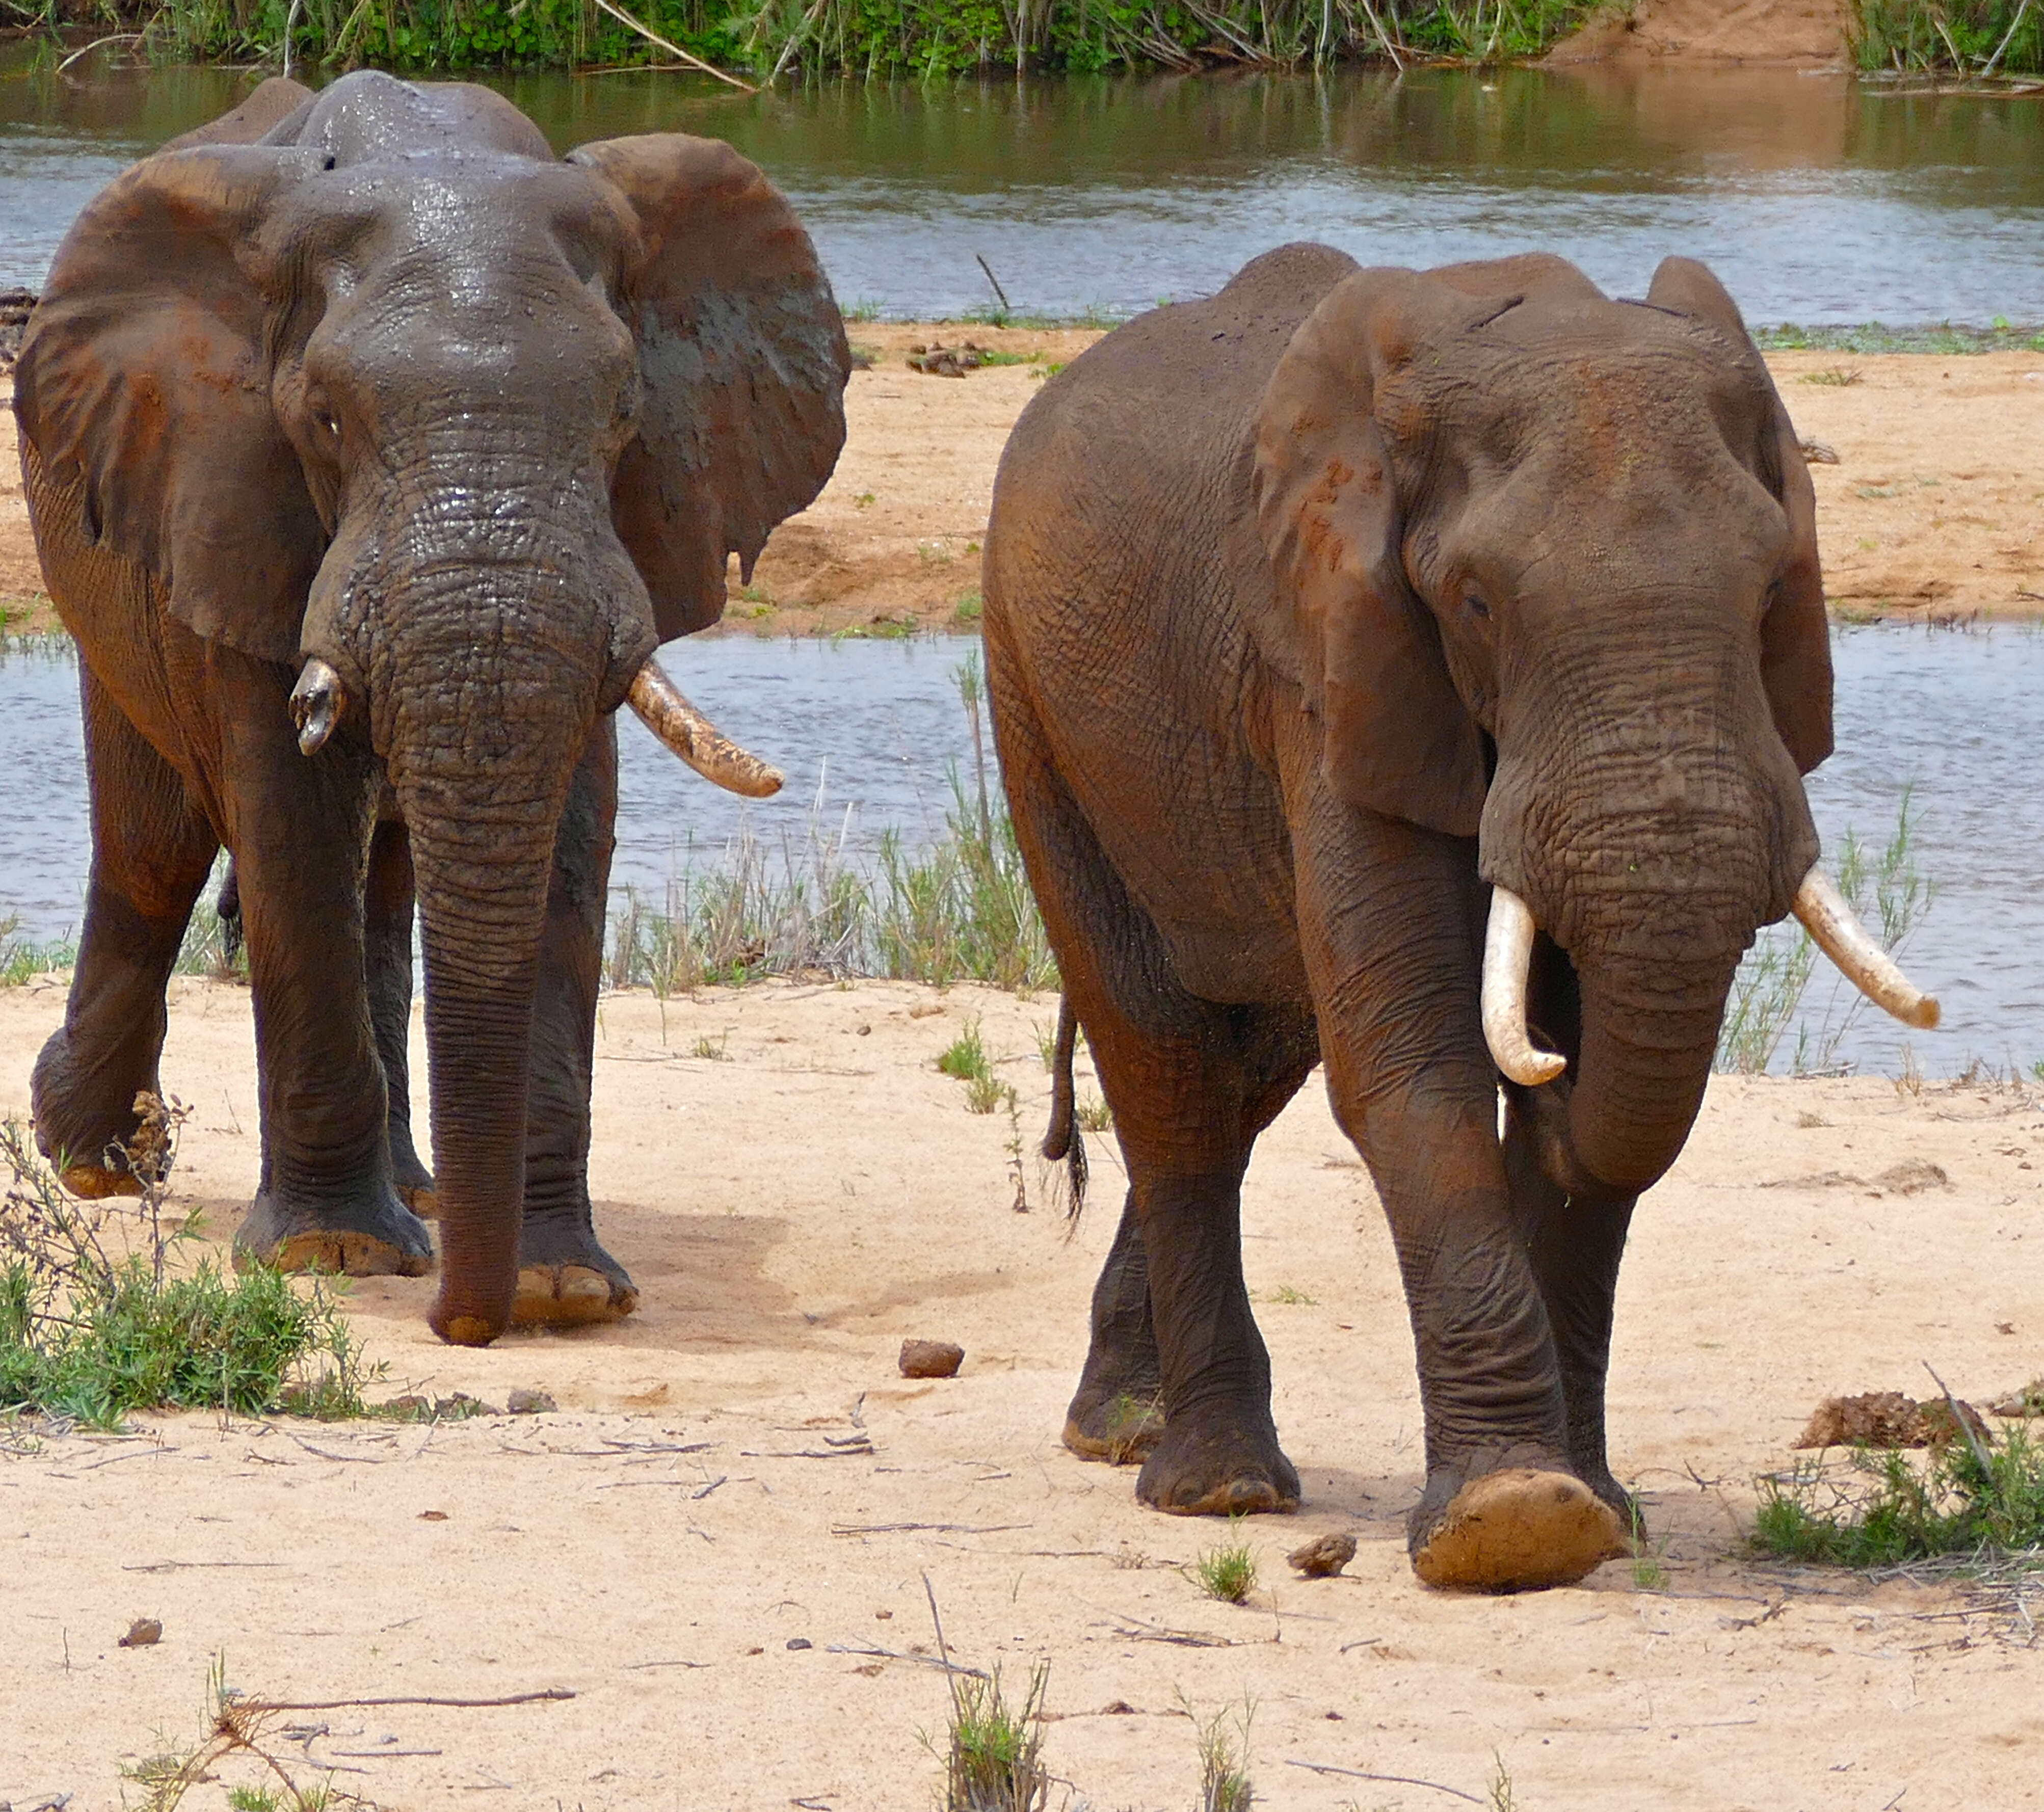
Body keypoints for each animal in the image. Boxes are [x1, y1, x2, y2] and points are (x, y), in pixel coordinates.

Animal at [14, 71, 846, 1348]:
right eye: (324, 420)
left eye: (623, 417)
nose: (468, 1324)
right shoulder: (233, 489)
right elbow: (290, 822)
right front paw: (331, 1255)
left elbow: (567, 839)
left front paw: (562, 1288)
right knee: (156, 848)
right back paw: (105, 1161)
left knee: (384, 883)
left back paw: (417, 1191)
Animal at [981, 248, 1937, 1593]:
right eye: (1477, 602)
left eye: (1769, 593)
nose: (1541, 1063)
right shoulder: (1329, 661)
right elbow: (1412, 1065)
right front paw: (1511, 1519)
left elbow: (1587, 1089)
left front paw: (1592, 1508)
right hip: (1033, 692)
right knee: (1165, 1061)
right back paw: (1211, 1483)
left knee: (1255, 1060)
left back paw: (1123, 1425)